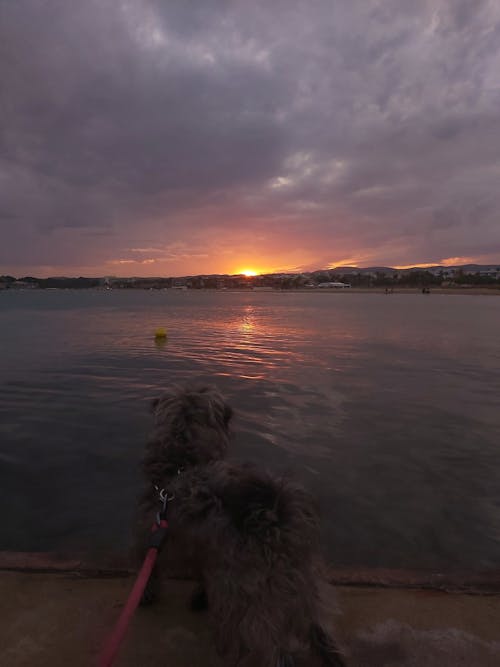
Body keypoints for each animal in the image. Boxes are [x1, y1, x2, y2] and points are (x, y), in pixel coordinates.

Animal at [137, 386, 348, 667]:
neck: (181, 464)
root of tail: (275, 520)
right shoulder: (206, 551)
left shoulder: (154, 530)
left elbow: (149, 566)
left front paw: (147, 593)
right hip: (306, 586)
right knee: (319, 630)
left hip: (248, 601)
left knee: (269, 648)